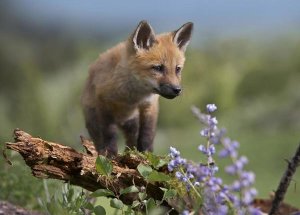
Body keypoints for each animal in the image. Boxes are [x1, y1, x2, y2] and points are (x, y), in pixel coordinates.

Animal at [81, 20, 193, 156]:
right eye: (158, 68)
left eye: (177, 69)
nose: (177, 89)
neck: (133, 96)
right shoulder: (103, 102)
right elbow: (109, 133)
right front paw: (110, 153)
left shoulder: (150, 105)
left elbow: (147, 134)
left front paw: (146, 153)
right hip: (93, 121)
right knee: (99, 138)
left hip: (132, 123)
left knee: (131, 139)